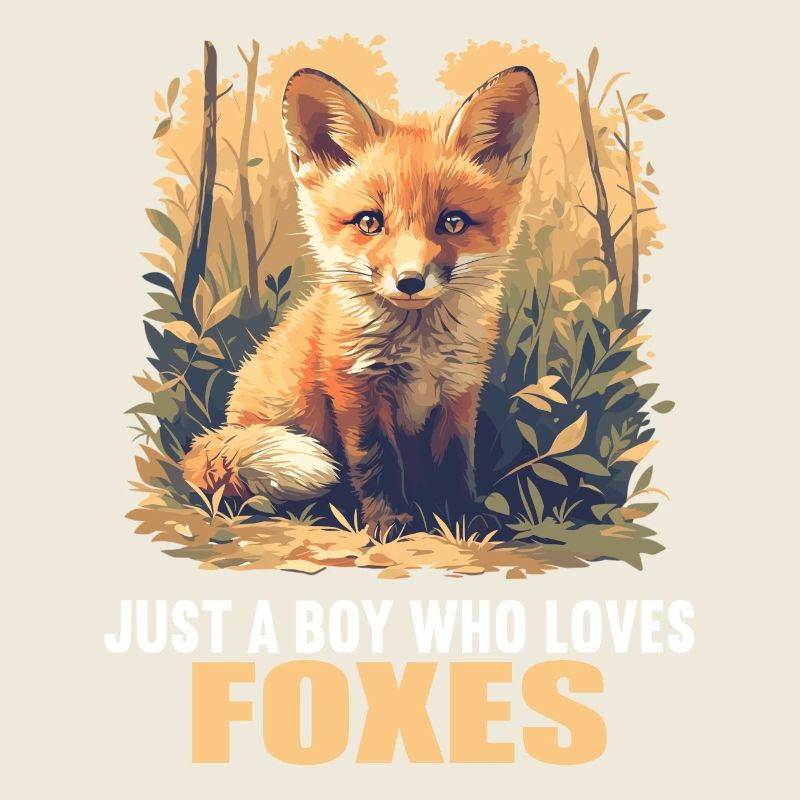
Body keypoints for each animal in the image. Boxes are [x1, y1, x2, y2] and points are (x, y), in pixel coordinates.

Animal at [183, 65, 540, 532]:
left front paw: (463, 521)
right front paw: (390, 523)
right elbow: (375, 463)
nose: (410, 281)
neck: (418, 348)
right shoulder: (354, 386)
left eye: (453, 222)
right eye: (369, 222)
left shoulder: (459, 389)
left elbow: (456, 464)